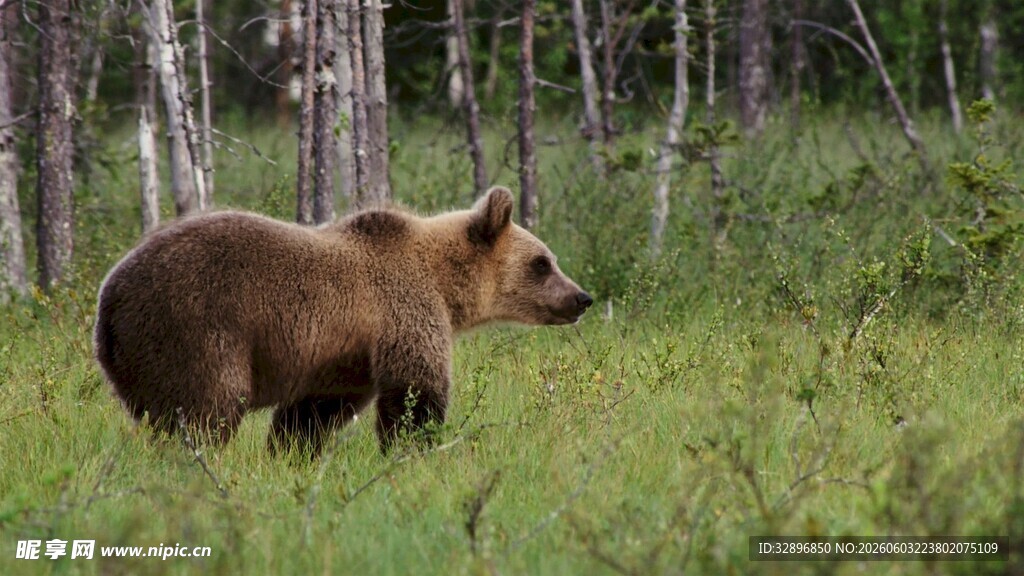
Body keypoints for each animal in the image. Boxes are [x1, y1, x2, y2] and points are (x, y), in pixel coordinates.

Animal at [94, 186, 592, 455]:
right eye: (542, 263)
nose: (582, 298)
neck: (445, 283)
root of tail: (109, 299)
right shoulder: (405, 311)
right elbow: (414, 392)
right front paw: (412, 450)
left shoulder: (343, 357)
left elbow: (313, 412)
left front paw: (291, 453)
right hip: (193, 327)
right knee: (206, 407)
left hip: (138, 358)